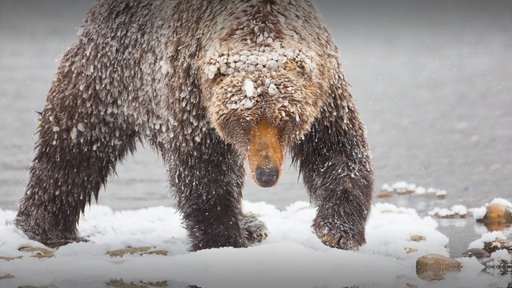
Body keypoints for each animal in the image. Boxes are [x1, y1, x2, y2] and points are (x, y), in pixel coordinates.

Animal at [15, 0, 372, 251]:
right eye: (244, 122)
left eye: (285, 119)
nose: (266, 174)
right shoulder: (192, 90)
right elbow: (204, 168)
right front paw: (223, 240)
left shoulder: (324, 90)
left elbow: (337, 150)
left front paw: (336, 230)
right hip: (108, 78)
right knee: (73, 151)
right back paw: (46, 227)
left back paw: (251, 223)